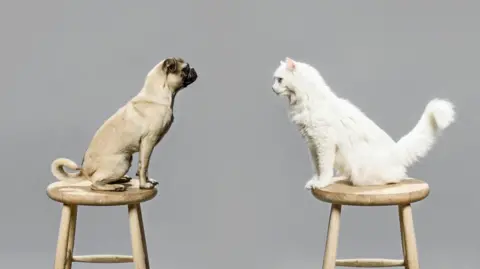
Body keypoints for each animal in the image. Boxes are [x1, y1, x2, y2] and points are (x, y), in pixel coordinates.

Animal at [50, 57, 197, 191]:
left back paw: (121, 180)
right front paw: (144, 185)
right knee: (95, 183)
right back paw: (114, 187)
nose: (194, 69)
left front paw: (147, 180)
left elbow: (143, 167)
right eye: (185, 69)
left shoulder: (146, 147)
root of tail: (84, 170)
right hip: (123, 161)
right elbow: (144, 166)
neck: (158, 94)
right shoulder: (148, 142)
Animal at [272, 57, 456, 189]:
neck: (304, 103)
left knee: (398, 177)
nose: (272, 88)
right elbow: (317, 167)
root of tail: (396, 151)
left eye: (279, 80)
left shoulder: (324, 143)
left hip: (363, 170)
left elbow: (324, 168)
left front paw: (322, 183)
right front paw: (315, 182)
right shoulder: (312, 144)